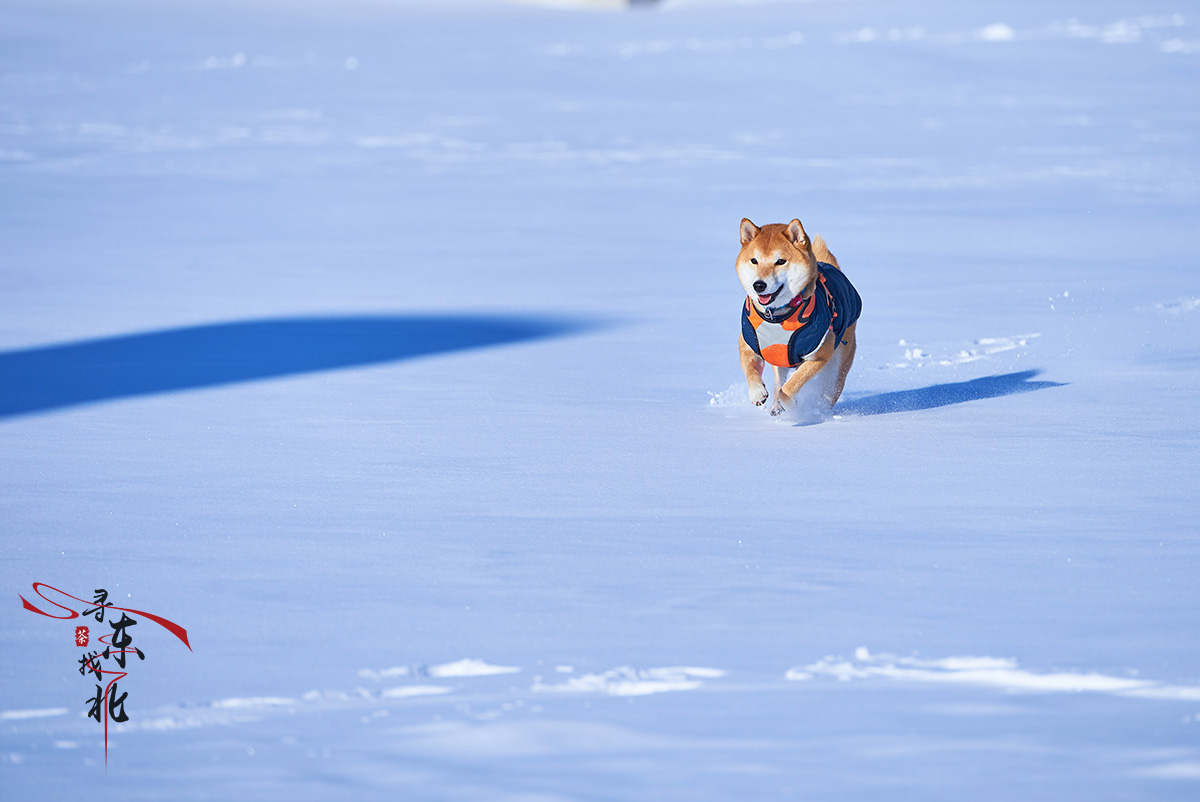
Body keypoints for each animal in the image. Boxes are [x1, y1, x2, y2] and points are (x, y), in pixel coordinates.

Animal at [734, 219, 859, 420]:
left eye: (780, 261)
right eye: (754, 261)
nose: (759, 285)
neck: (777, 315)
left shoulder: (819, 355)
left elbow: (791, 386)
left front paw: (790, 404)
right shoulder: (749, 342)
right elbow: (751, 369)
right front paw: (757, 393)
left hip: (835, 371)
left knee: (825, 392)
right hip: (779, 360)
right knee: (779, 381)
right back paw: (775, 406)